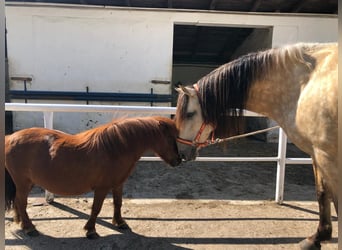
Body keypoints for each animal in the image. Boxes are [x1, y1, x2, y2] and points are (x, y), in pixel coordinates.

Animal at [5, 116, 182, 239]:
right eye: (169, 138)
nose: (179, 160)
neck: (115, 149)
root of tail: (9, 138)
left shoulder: (118, 184)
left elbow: (118, 203)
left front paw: (120, 222)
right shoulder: (102, 188)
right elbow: (96, 208)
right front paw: (90, 230)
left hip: (27, 183)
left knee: (18, 202)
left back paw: (23, 224)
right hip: (23, 182)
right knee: (21, 202)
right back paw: (30, 228)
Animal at [175, 42, 338, 249]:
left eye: (189, 114)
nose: (181, 151)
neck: (302, 85)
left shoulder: (328, 156)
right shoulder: (316, 153)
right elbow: (322, 192)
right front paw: (316, 238)